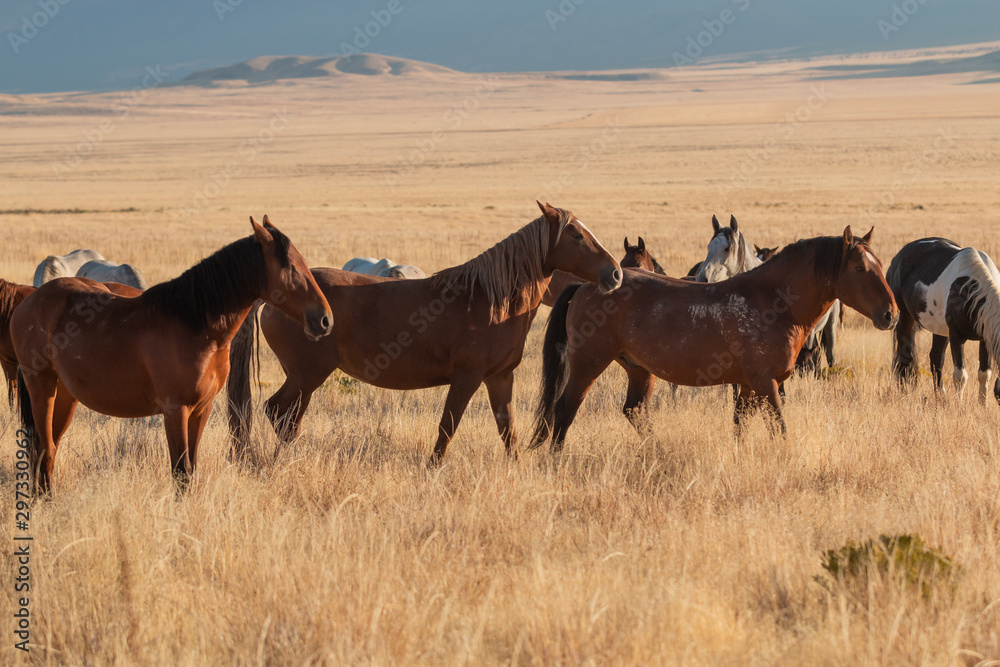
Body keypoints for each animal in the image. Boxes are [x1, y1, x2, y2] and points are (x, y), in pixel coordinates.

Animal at [13, 217, 332, 495]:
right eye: (291, 268)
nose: (325, 319)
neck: (195, 324)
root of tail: (29, 301)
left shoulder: (201, 409)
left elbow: (192, 468)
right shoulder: (175, 410)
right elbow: (181, 471)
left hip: (66, 395)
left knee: (48, 447)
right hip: (41, 387)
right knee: (44, 448)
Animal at [228, 202, 623, 463]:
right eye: (576, 234)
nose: (616, 273)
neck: (489, 298)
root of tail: (272, 300)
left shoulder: (500, 378)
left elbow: (507, 429)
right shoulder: (467, 378)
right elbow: (448, 426)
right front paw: (432, 470)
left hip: (306, 380)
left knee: (287, 418)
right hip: (307, 375)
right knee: (277, 412)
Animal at [530, 227, 897, 451]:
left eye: (880, 264)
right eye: (860, 269)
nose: (891, 314)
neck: (774, 302)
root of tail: (585, 285)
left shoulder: (748, 385)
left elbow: (740, 425)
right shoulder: (766, 383)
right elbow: (778, 427)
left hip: (639, 370)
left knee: (635, 411)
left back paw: (658, 454)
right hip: (587, 366)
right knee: (564, 410)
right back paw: (556, 461)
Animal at [888, 238, 1000, 404]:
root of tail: (897, 258)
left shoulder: (985, 337)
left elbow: (984, 374)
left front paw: (982, 405)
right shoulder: (956, 336)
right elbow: (960, 376)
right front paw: (959, 405)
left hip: (940, 329)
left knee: (936, 358)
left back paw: (940, 397)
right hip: (904, 319)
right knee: (905, 357)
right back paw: (905, 393)